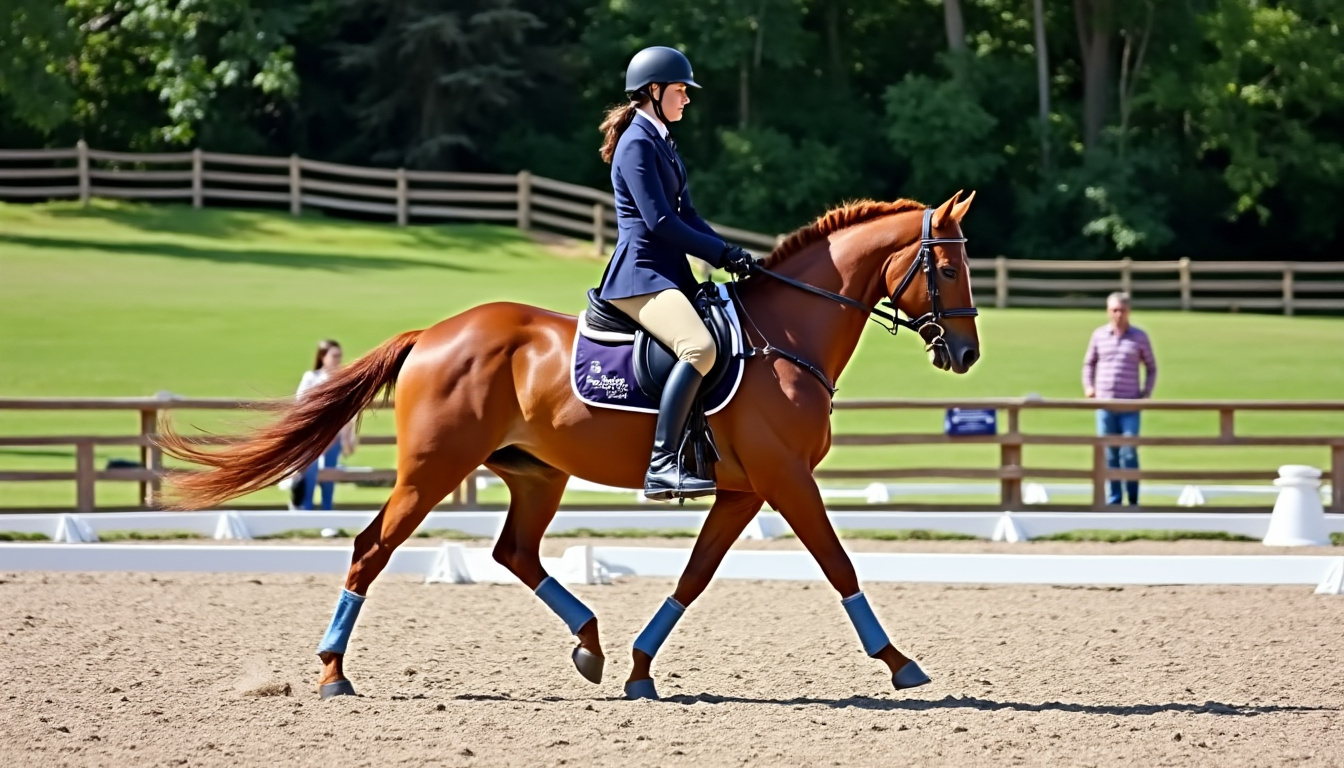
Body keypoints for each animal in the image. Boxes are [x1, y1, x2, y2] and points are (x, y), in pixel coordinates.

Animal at [157, 190, 981, 700]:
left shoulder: (746, 489)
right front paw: (901, 664)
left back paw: (591, 645)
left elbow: (695, 577)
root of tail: (434, 333)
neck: (784, 336)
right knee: (371, 548)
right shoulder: (784, 479)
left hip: (535, 474)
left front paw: (641, 668)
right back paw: (332, 673)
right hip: (433, 470)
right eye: (945, 265)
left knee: (513, 553)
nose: (966, 355)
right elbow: (839, 563)